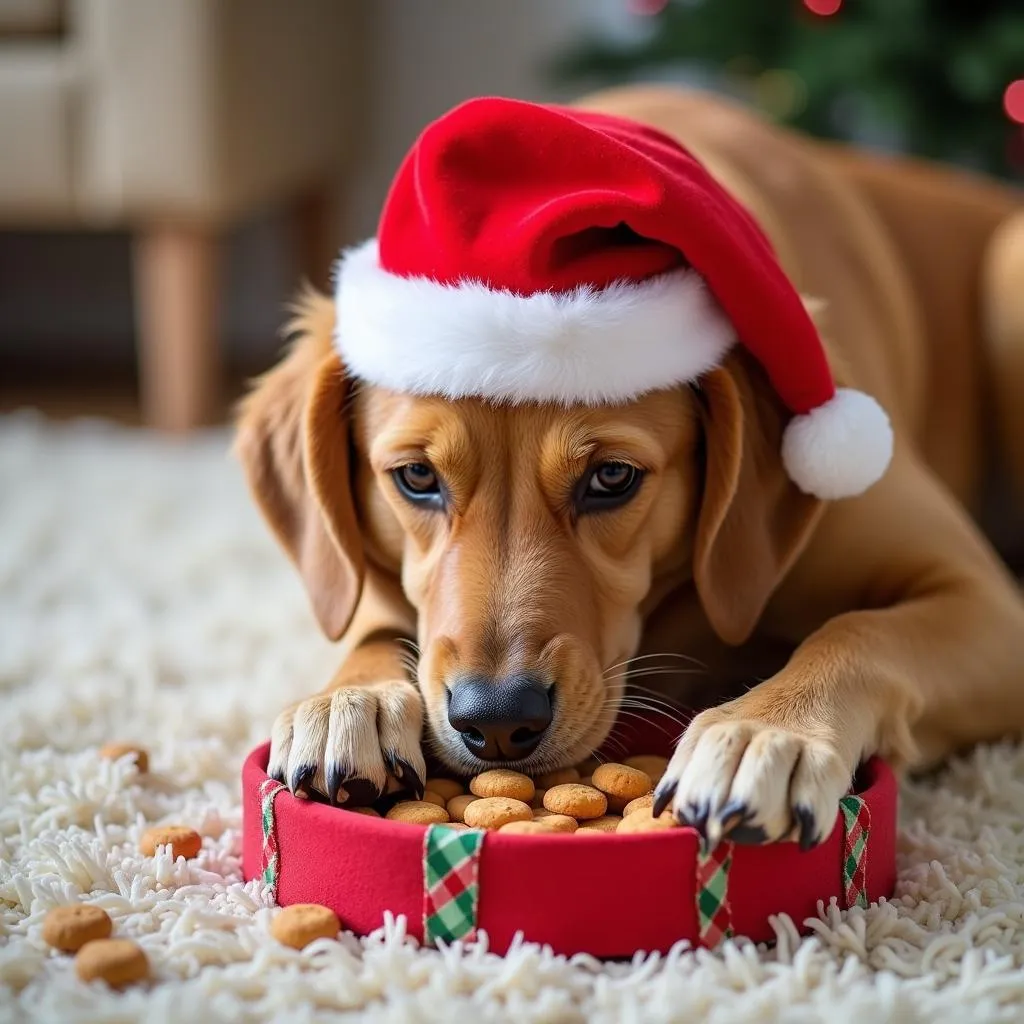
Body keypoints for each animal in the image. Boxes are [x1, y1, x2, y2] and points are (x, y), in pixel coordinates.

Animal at [234, 88, 1024, 847]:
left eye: (612, 478)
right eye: (417, 479)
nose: (496, 720)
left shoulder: (989, 601)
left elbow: (856, 632)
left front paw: (765, 731)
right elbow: (371, 628)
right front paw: (350, 701)